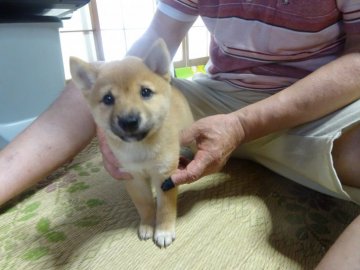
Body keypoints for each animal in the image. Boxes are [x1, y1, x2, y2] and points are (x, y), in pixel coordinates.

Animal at [70, 39, 194, 248]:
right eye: (108, 98)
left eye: (145, 92)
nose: (128, 121)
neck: (140, 148)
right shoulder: (133, 178)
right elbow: (145, 206)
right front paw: (147, 225)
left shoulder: (164, 176)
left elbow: (165, 208)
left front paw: (163, 231)